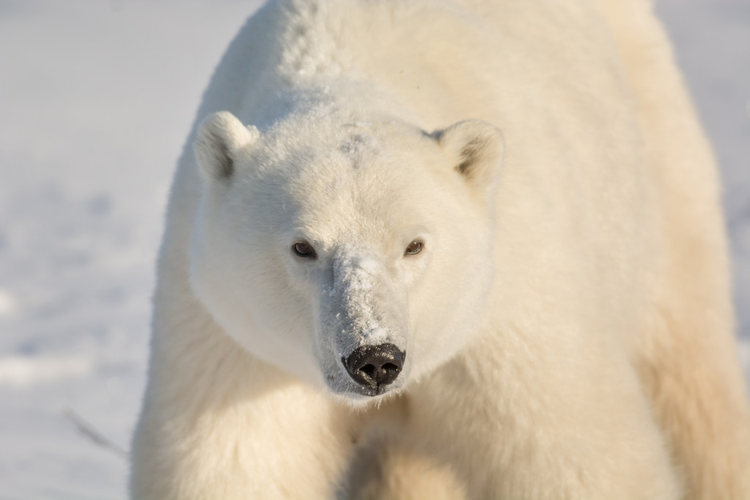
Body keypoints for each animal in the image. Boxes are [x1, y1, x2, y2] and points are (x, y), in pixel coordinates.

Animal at [130, 0, 750, 498]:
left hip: (656, 169)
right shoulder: (234, 341)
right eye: (303, 247)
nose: (374, 359)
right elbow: (234, 460)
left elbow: (574, 456)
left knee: (691, 373)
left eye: (414, 245)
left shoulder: (506, 315)